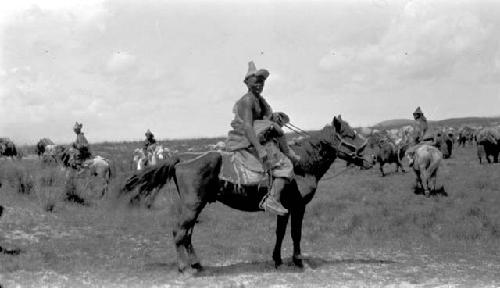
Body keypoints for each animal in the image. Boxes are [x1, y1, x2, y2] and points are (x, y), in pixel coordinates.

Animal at [121, 115, 372, 272]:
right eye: (350, 134)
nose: (371, 158)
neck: (302, 163)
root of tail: (181, 159)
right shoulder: (298, 208)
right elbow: (296, 235)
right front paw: (300, 262)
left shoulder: (285, 209)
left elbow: (280, 234)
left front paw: (278, 260)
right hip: (192, 206)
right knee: (179, 233)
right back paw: (185, 268)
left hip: (195, 207)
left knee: (187, 235)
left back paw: (197, 265)